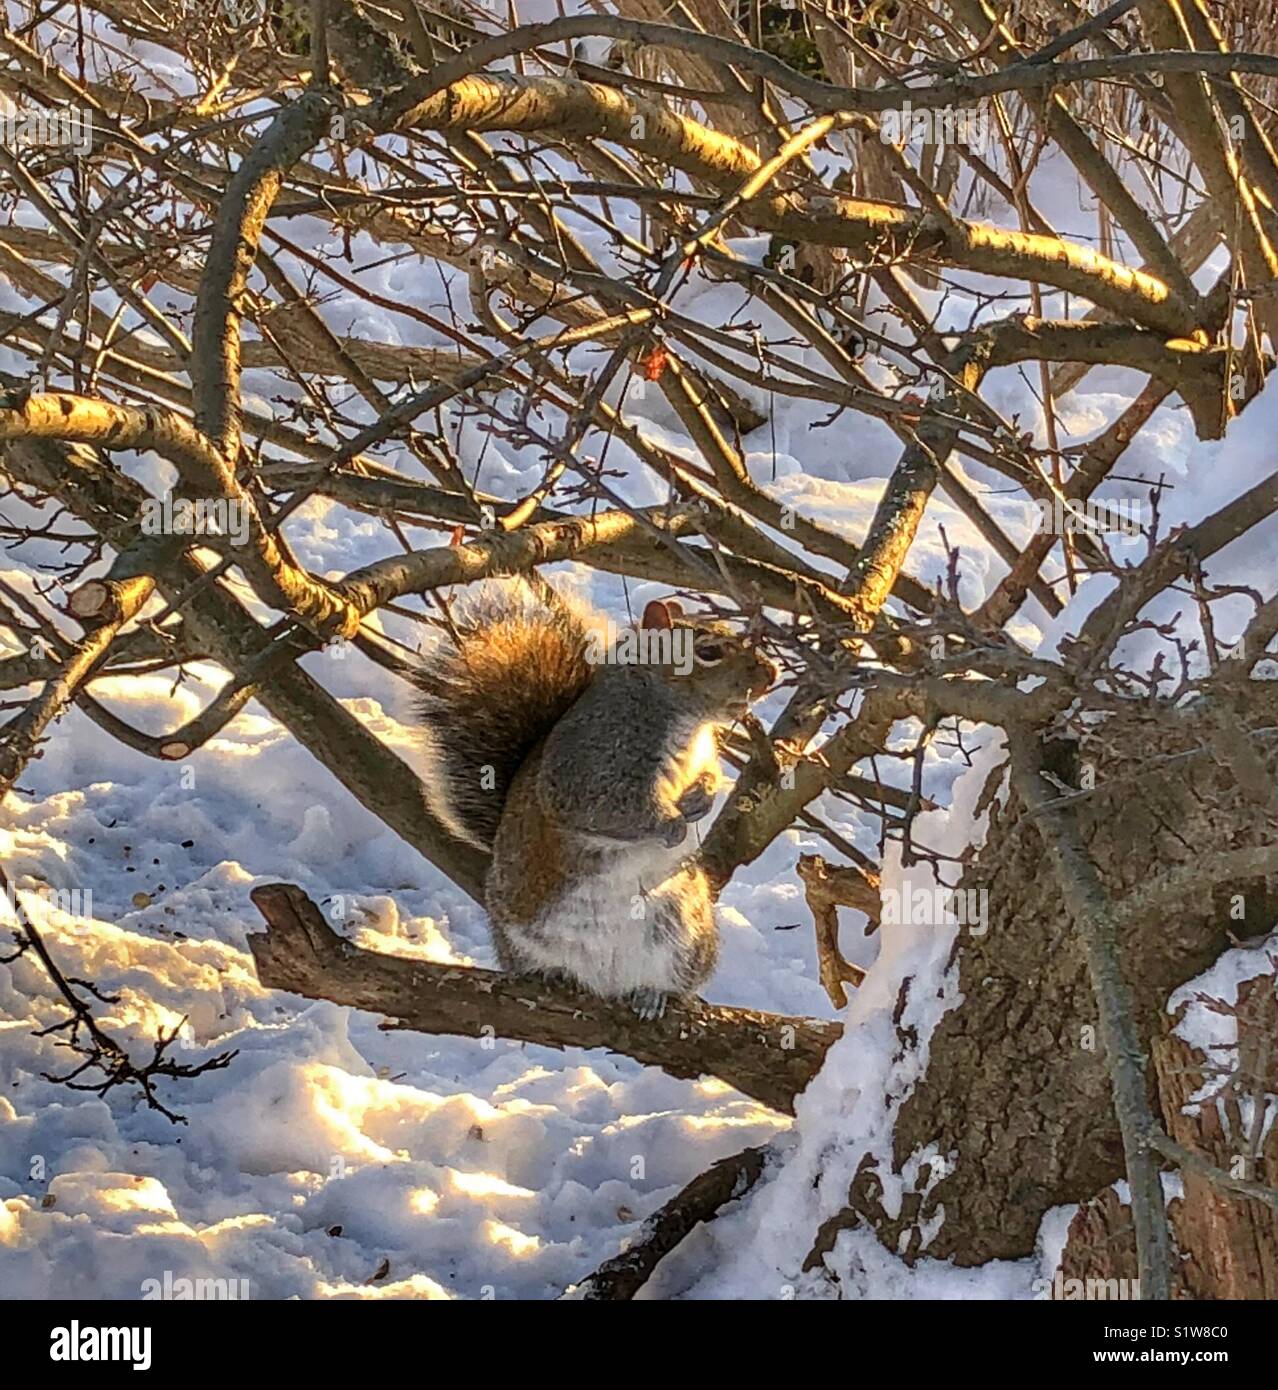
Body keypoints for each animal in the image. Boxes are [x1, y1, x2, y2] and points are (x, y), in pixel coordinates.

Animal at [413, 583, 777, 1018]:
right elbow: (613, 811)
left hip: (685, 938)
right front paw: (670, 825)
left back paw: (653, 995)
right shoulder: (589, 768)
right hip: (524, 937)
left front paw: (700, 800)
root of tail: (606, 982)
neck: (683, 722)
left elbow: (710, 776)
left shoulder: (703, 754)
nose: (772, 674)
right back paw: (556, 975)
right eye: (708, 652)